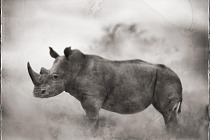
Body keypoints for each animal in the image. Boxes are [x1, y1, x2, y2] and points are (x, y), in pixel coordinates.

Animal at [27, 47, 182, 131]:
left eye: (55, 77)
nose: (37, 93)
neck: (73, 68)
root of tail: (178, 77)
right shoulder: (90, 99)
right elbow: (94, 121)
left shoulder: (92, 98)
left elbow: (91, 120)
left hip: (167, 79)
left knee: (167, 114)